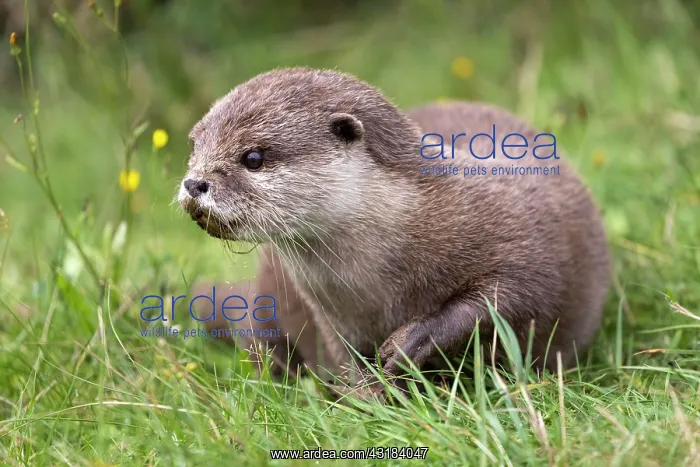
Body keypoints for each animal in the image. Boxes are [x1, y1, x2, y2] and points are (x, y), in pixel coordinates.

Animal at [179, 68, 610, 392]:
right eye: (194, 146)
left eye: (253, 157)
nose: (194, 182)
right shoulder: (333, 317)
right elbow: (348, 360)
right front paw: (371, 399)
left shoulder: (518, 238)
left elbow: (507, 298)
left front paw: (413, 343)